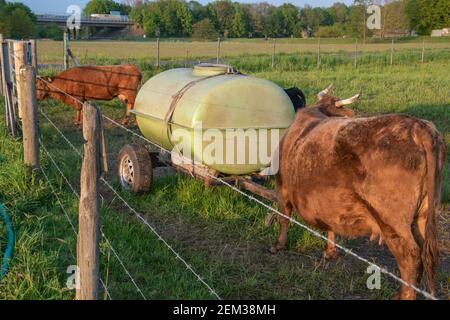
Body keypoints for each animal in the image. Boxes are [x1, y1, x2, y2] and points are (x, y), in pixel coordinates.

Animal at [270, 85, 446, 300]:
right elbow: (329, 223)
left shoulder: (282, 186)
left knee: (411, 256)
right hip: (423, 214)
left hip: (392, 220)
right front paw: (330, 251)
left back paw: (404, 295)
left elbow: (283, 217)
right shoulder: (326, 200)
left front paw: (278, 245)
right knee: (423, 251)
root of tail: (417, 125)